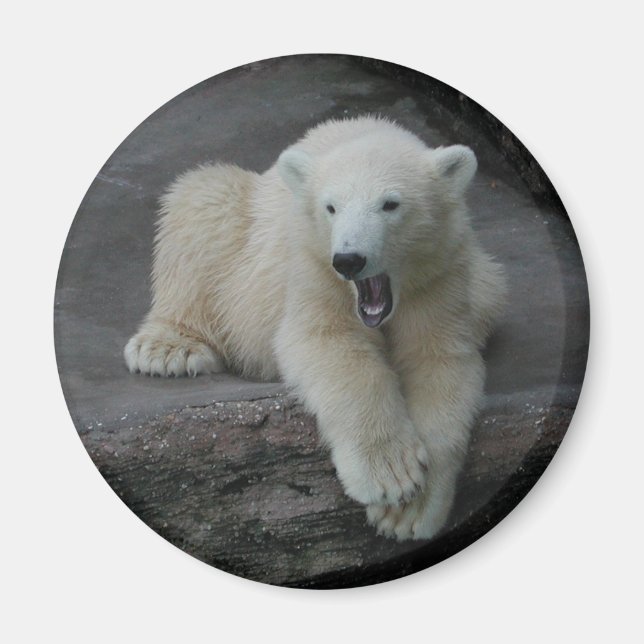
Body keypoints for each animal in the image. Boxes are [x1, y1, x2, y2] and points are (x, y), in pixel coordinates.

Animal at [124, 116, 506, 541]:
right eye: (331, 207)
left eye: (390, 204)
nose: (350, 260)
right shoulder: (313, 268)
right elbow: (330, 345)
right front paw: (389, 476)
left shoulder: (440, 276)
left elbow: (439, 361)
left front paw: (409, 512)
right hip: (241, 236)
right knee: (203, 201)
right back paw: (168, 349)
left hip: (485, 281)